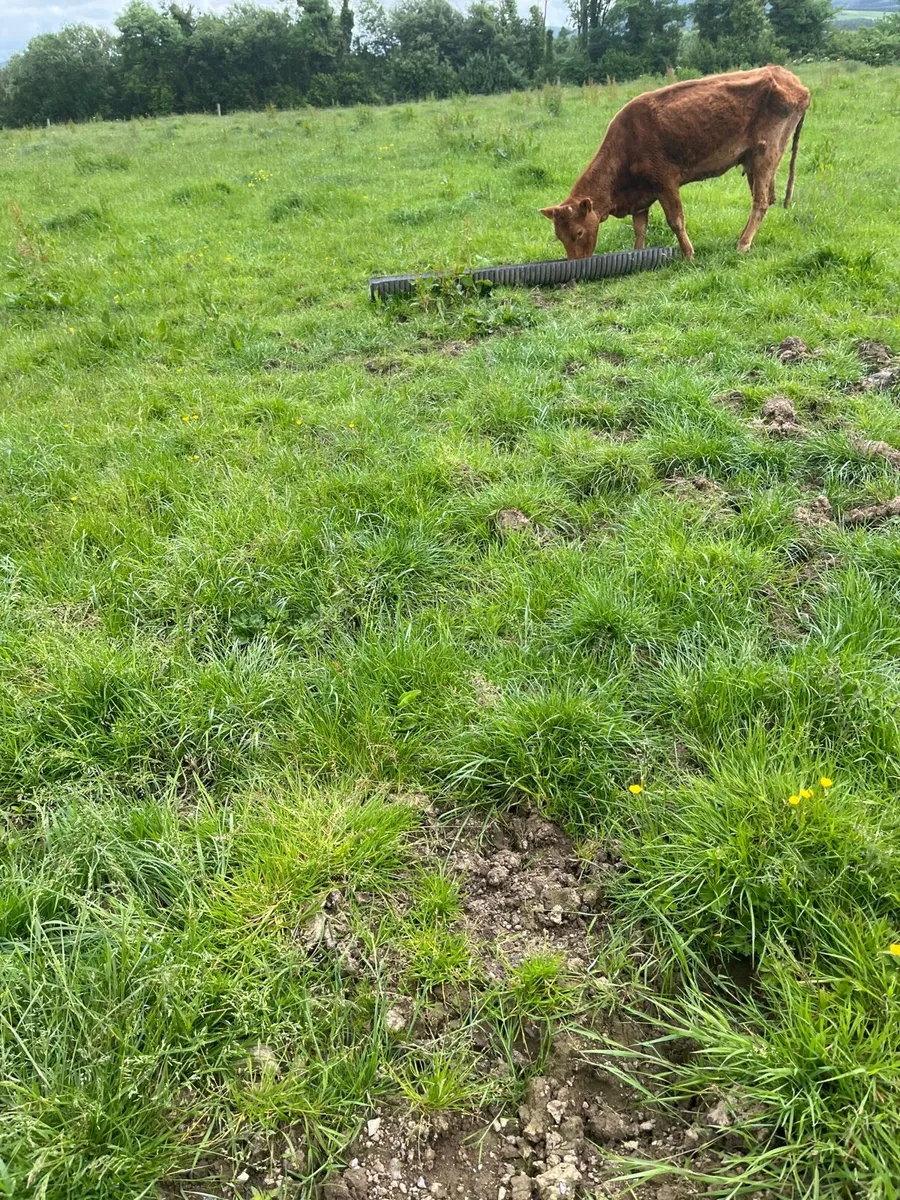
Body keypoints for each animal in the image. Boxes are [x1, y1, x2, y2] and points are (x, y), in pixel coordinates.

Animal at [541, 65, 810, 260]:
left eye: (578, 232)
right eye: (559, 236)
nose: (575, 265)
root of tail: (791, 79)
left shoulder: (665, 181)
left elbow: (676, 220)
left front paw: (688, 254)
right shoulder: (641, 197)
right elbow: (639, 228)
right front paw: (637, 255)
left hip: (766, 153)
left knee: (761, 202)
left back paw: (743, 243)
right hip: (755, 161)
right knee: (766, 198)